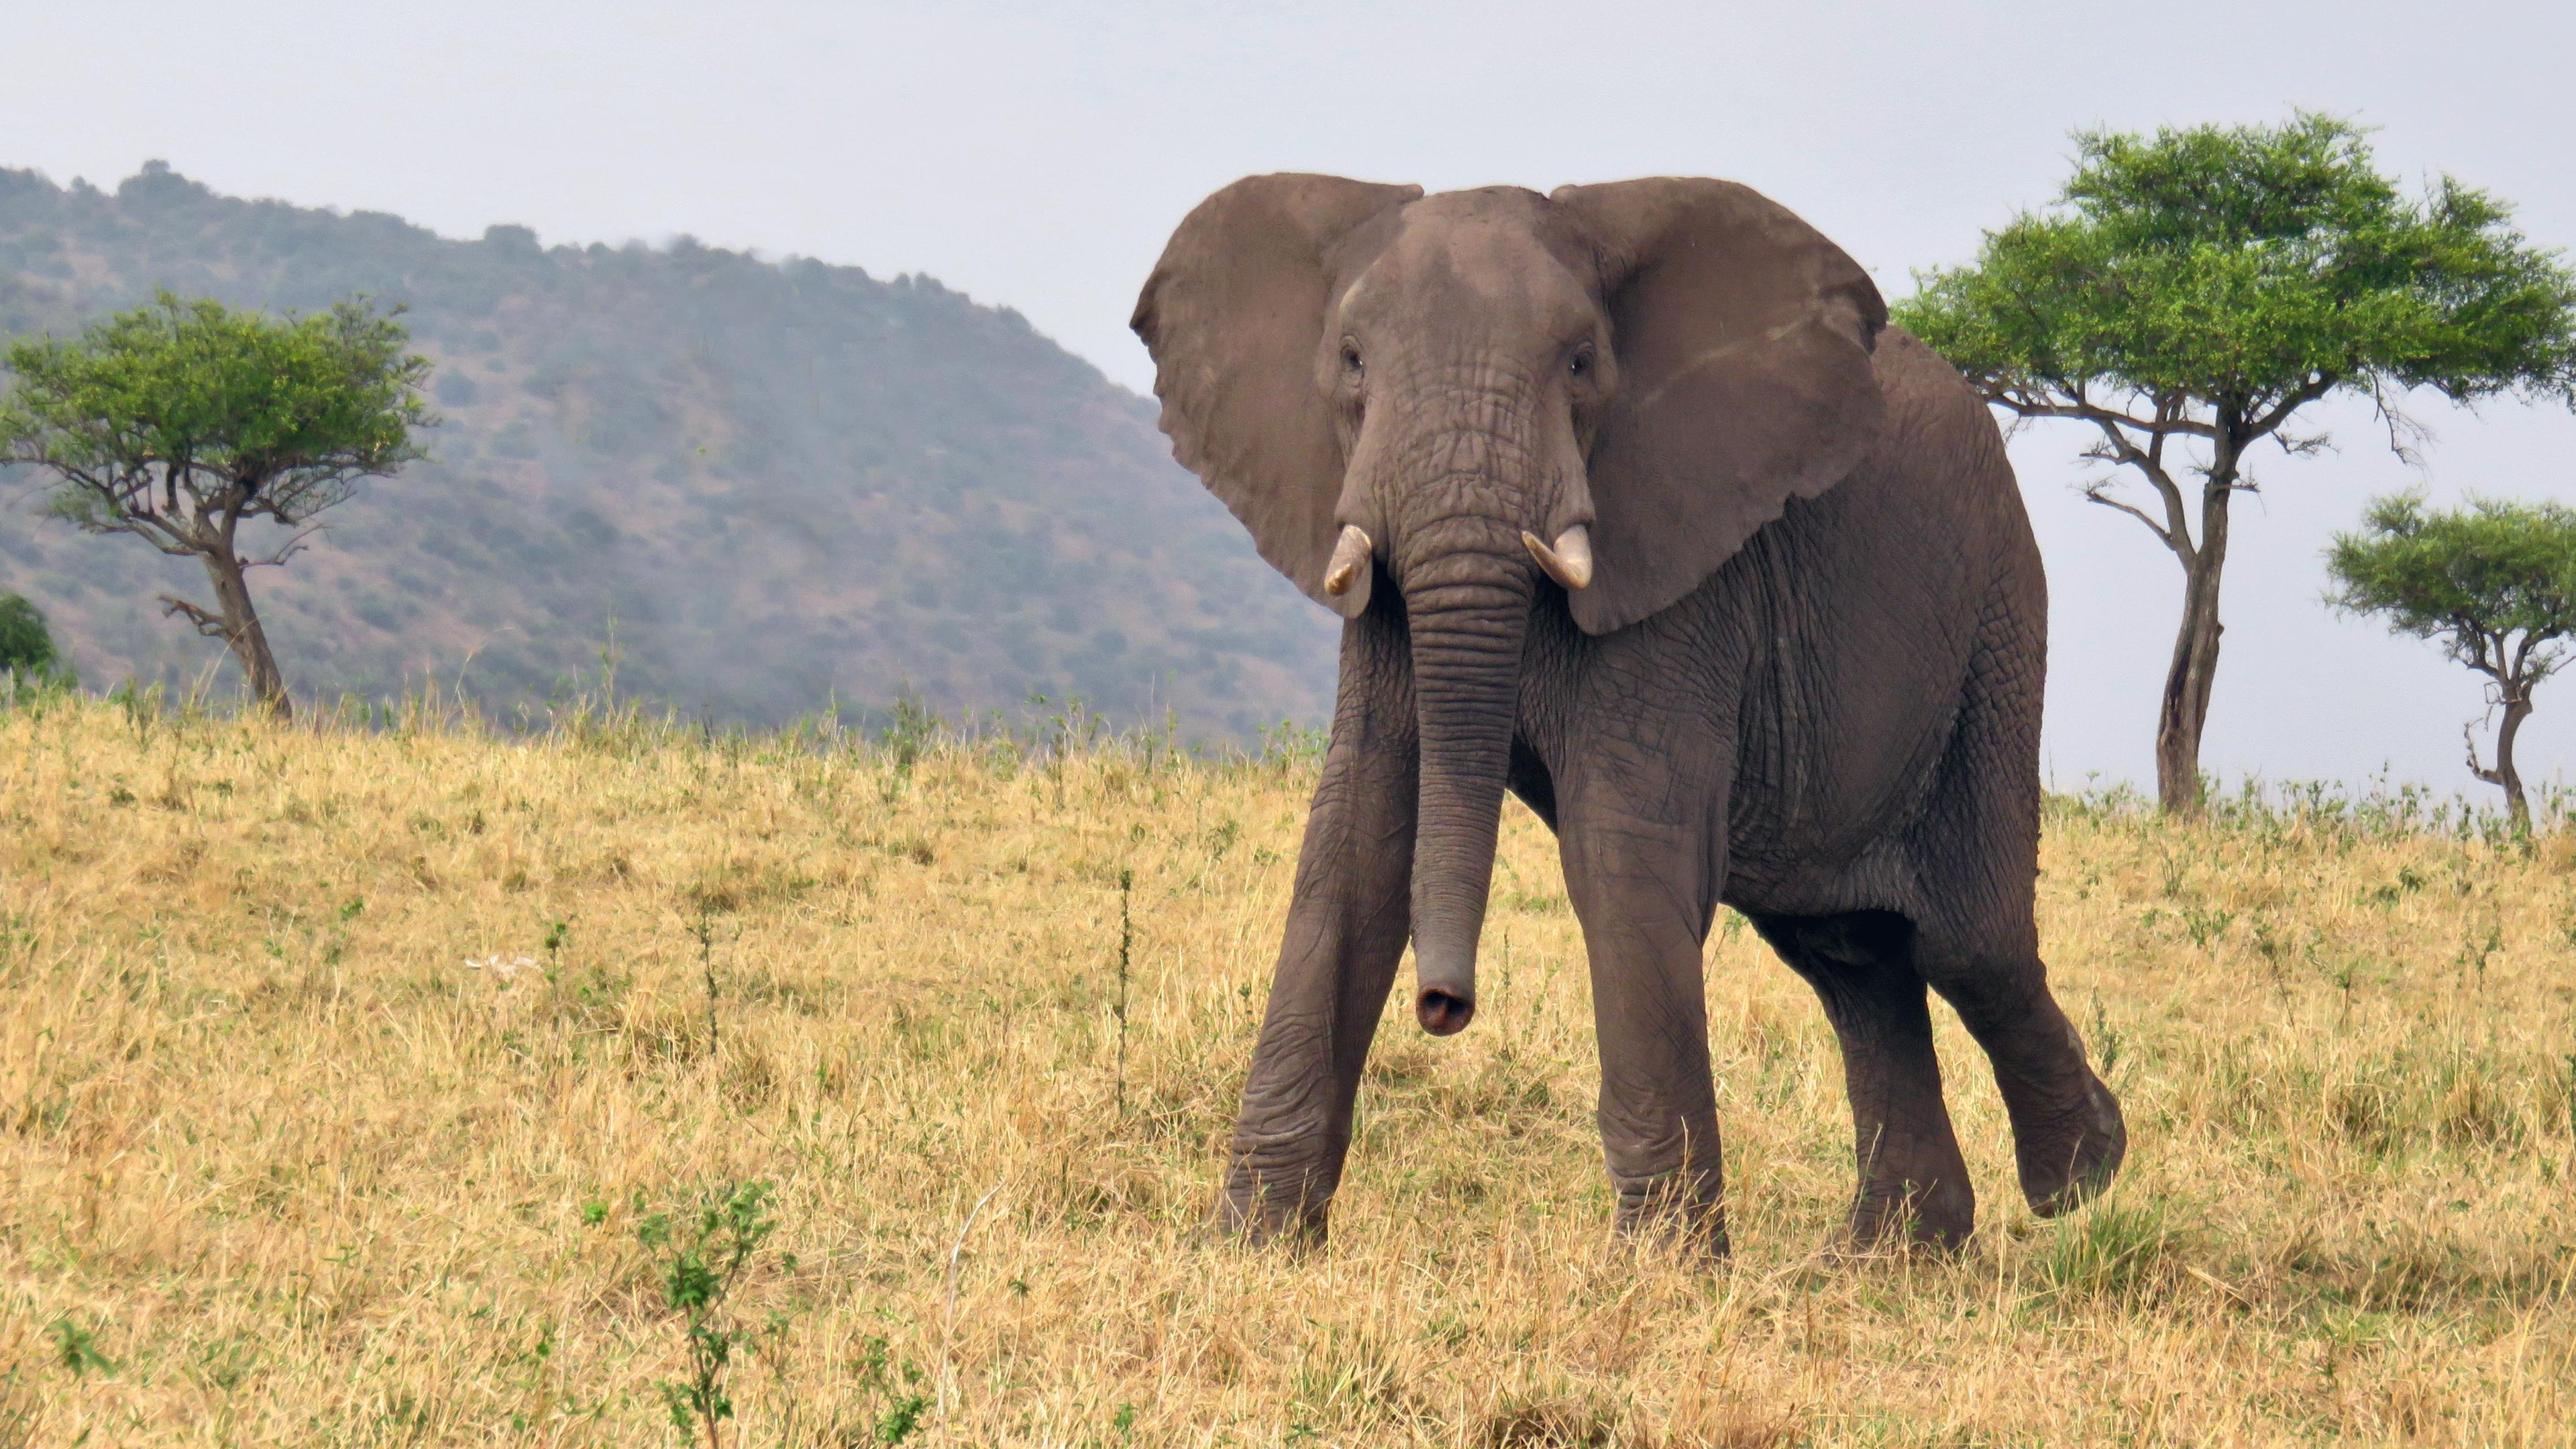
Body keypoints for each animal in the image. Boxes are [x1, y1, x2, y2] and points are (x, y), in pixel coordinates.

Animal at [1130, 174, 2125, 1254]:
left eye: (1580, 363)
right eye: (1352, 362)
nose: (1443, 1008)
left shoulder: (1683, 569)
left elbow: (1620, 852)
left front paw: (1665, 1269)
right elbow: (1355, 842)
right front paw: (1249, 1248)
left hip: (1995, 622)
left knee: (1968, 941)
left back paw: (2083, 1175)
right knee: (1853, 956)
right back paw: (1890, 1258)